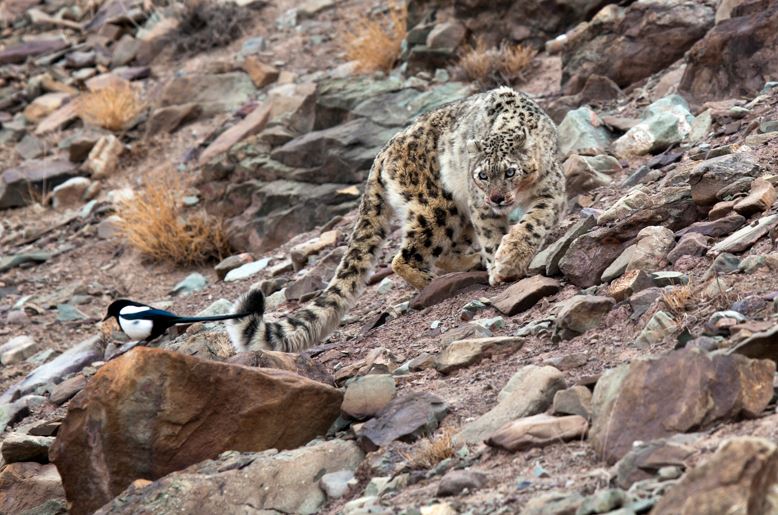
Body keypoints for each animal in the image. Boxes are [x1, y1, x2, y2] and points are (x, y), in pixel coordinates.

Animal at [228, 86, 565, 352]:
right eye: (482, 175)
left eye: (510, 172)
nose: (496, 198)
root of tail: (383, 152)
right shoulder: (479, 207)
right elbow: (493, 236)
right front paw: (502, 268)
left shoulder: (550, 190)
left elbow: (533, 223)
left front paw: (509, 258)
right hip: (440, 207)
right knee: (403, 257)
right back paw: (437, 282)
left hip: (455, 214)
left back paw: (469, 264)